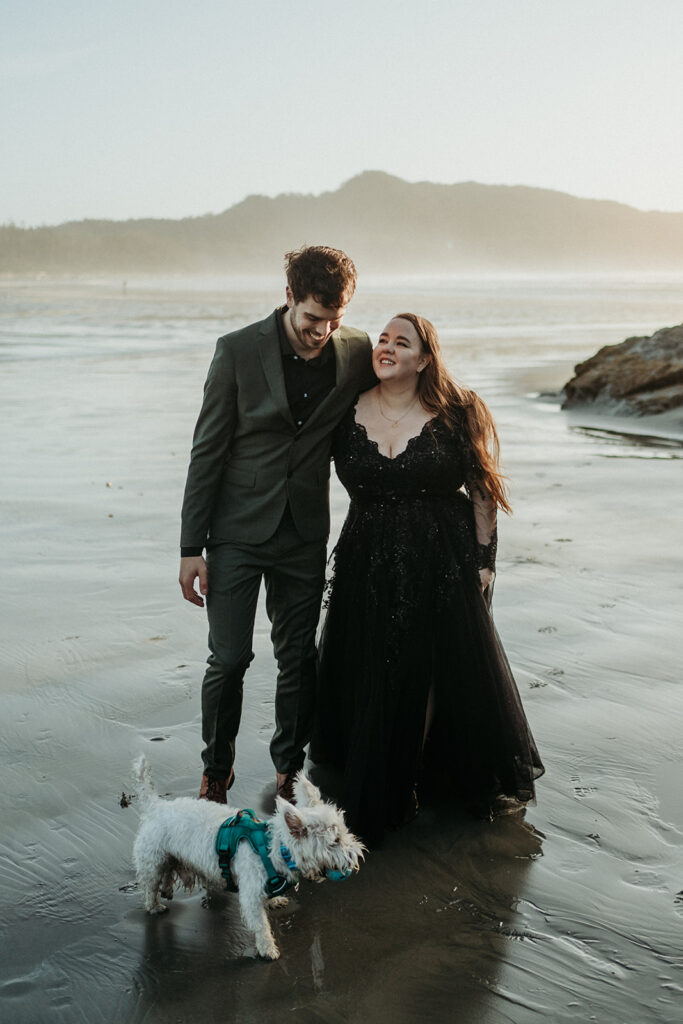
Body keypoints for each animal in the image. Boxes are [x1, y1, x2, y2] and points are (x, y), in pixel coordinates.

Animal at [129, 753, 362, 958]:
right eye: (334, 841)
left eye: (344, 831)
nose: (357, 855)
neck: (274, 849)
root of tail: (156, 806)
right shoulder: (250, 894)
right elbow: (260, 924)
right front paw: (268, 949)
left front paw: (275, 900)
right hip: (152, 859)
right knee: (150, 885)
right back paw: (154, 906)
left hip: (168, 856)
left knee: (168, 870)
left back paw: (167, 889)